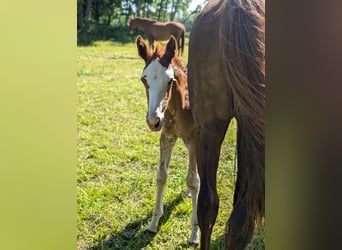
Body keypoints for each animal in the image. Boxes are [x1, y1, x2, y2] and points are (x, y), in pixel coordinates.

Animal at [136, 35, 200, 244]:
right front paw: (153, 223)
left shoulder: (195, 139)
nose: (153, 121)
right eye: (144, 79)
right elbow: (161, 176)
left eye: (170, 80)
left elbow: (193, 180)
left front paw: (194, 233)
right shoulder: (167, 137)